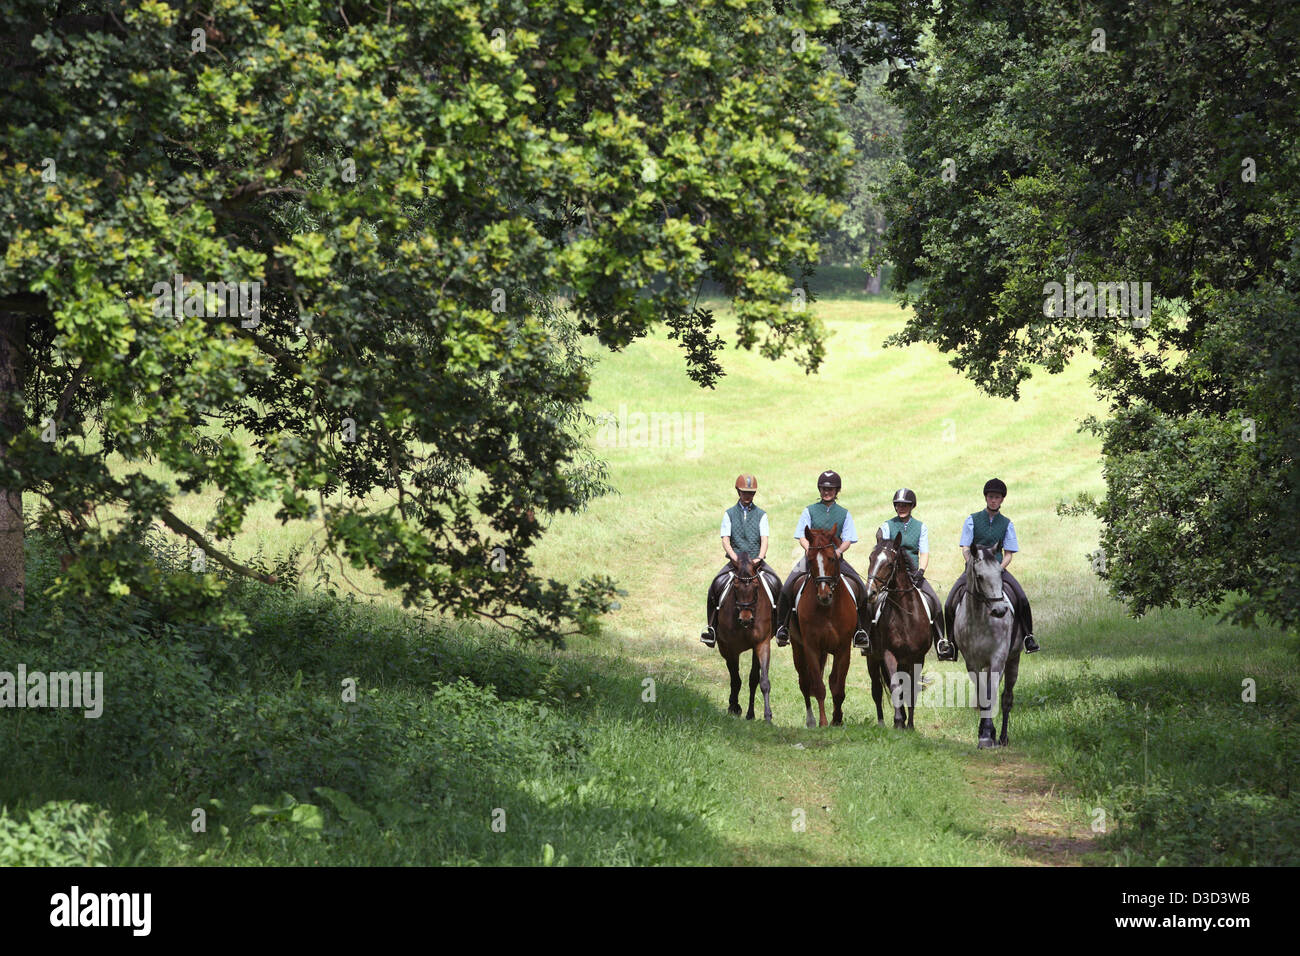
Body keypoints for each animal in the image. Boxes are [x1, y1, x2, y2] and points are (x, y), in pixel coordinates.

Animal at [712, 548, 769, 723]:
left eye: (756, 585)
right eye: (735, 586)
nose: (745, 619)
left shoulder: (761, 644)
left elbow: (760, 680)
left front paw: (766, 716)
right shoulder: (731, 648)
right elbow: (735, 679)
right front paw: (734, 708)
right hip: (724, 648)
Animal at [785, 522, 857, 723]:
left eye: (832, 558)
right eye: (810, 560)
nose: (824, 595)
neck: (828, 609)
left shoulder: (843, 649)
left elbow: (837, 687)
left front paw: (837, 720)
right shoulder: (811, 648)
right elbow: (818, 687)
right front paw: (824, 722)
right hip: (798, 648)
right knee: (804, 682)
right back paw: (811, 720)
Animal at [863, 530, 935, 733]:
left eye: (889, 563)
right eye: (871, 558)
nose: (870, 593)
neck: (906, 614)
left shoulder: (917, 658)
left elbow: (911, 689)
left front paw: (909, 724)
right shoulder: (889, 654)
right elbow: (895, 686)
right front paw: (897, 721)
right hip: (873, 659)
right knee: (878, 690)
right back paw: (883, 722)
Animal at [951, 546, 1019, 749]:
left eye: (1000, 572)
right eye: (980, 577)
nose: (1000, 610)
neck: (980, 619)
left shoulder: (998, 659)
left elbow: (990, 694)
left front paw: (988, 734)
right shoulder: (972, 663)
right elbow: (982, 695)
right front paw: (984, 733)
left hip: (1013, 660)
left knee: (1006, 699)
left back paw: (1003, 737)